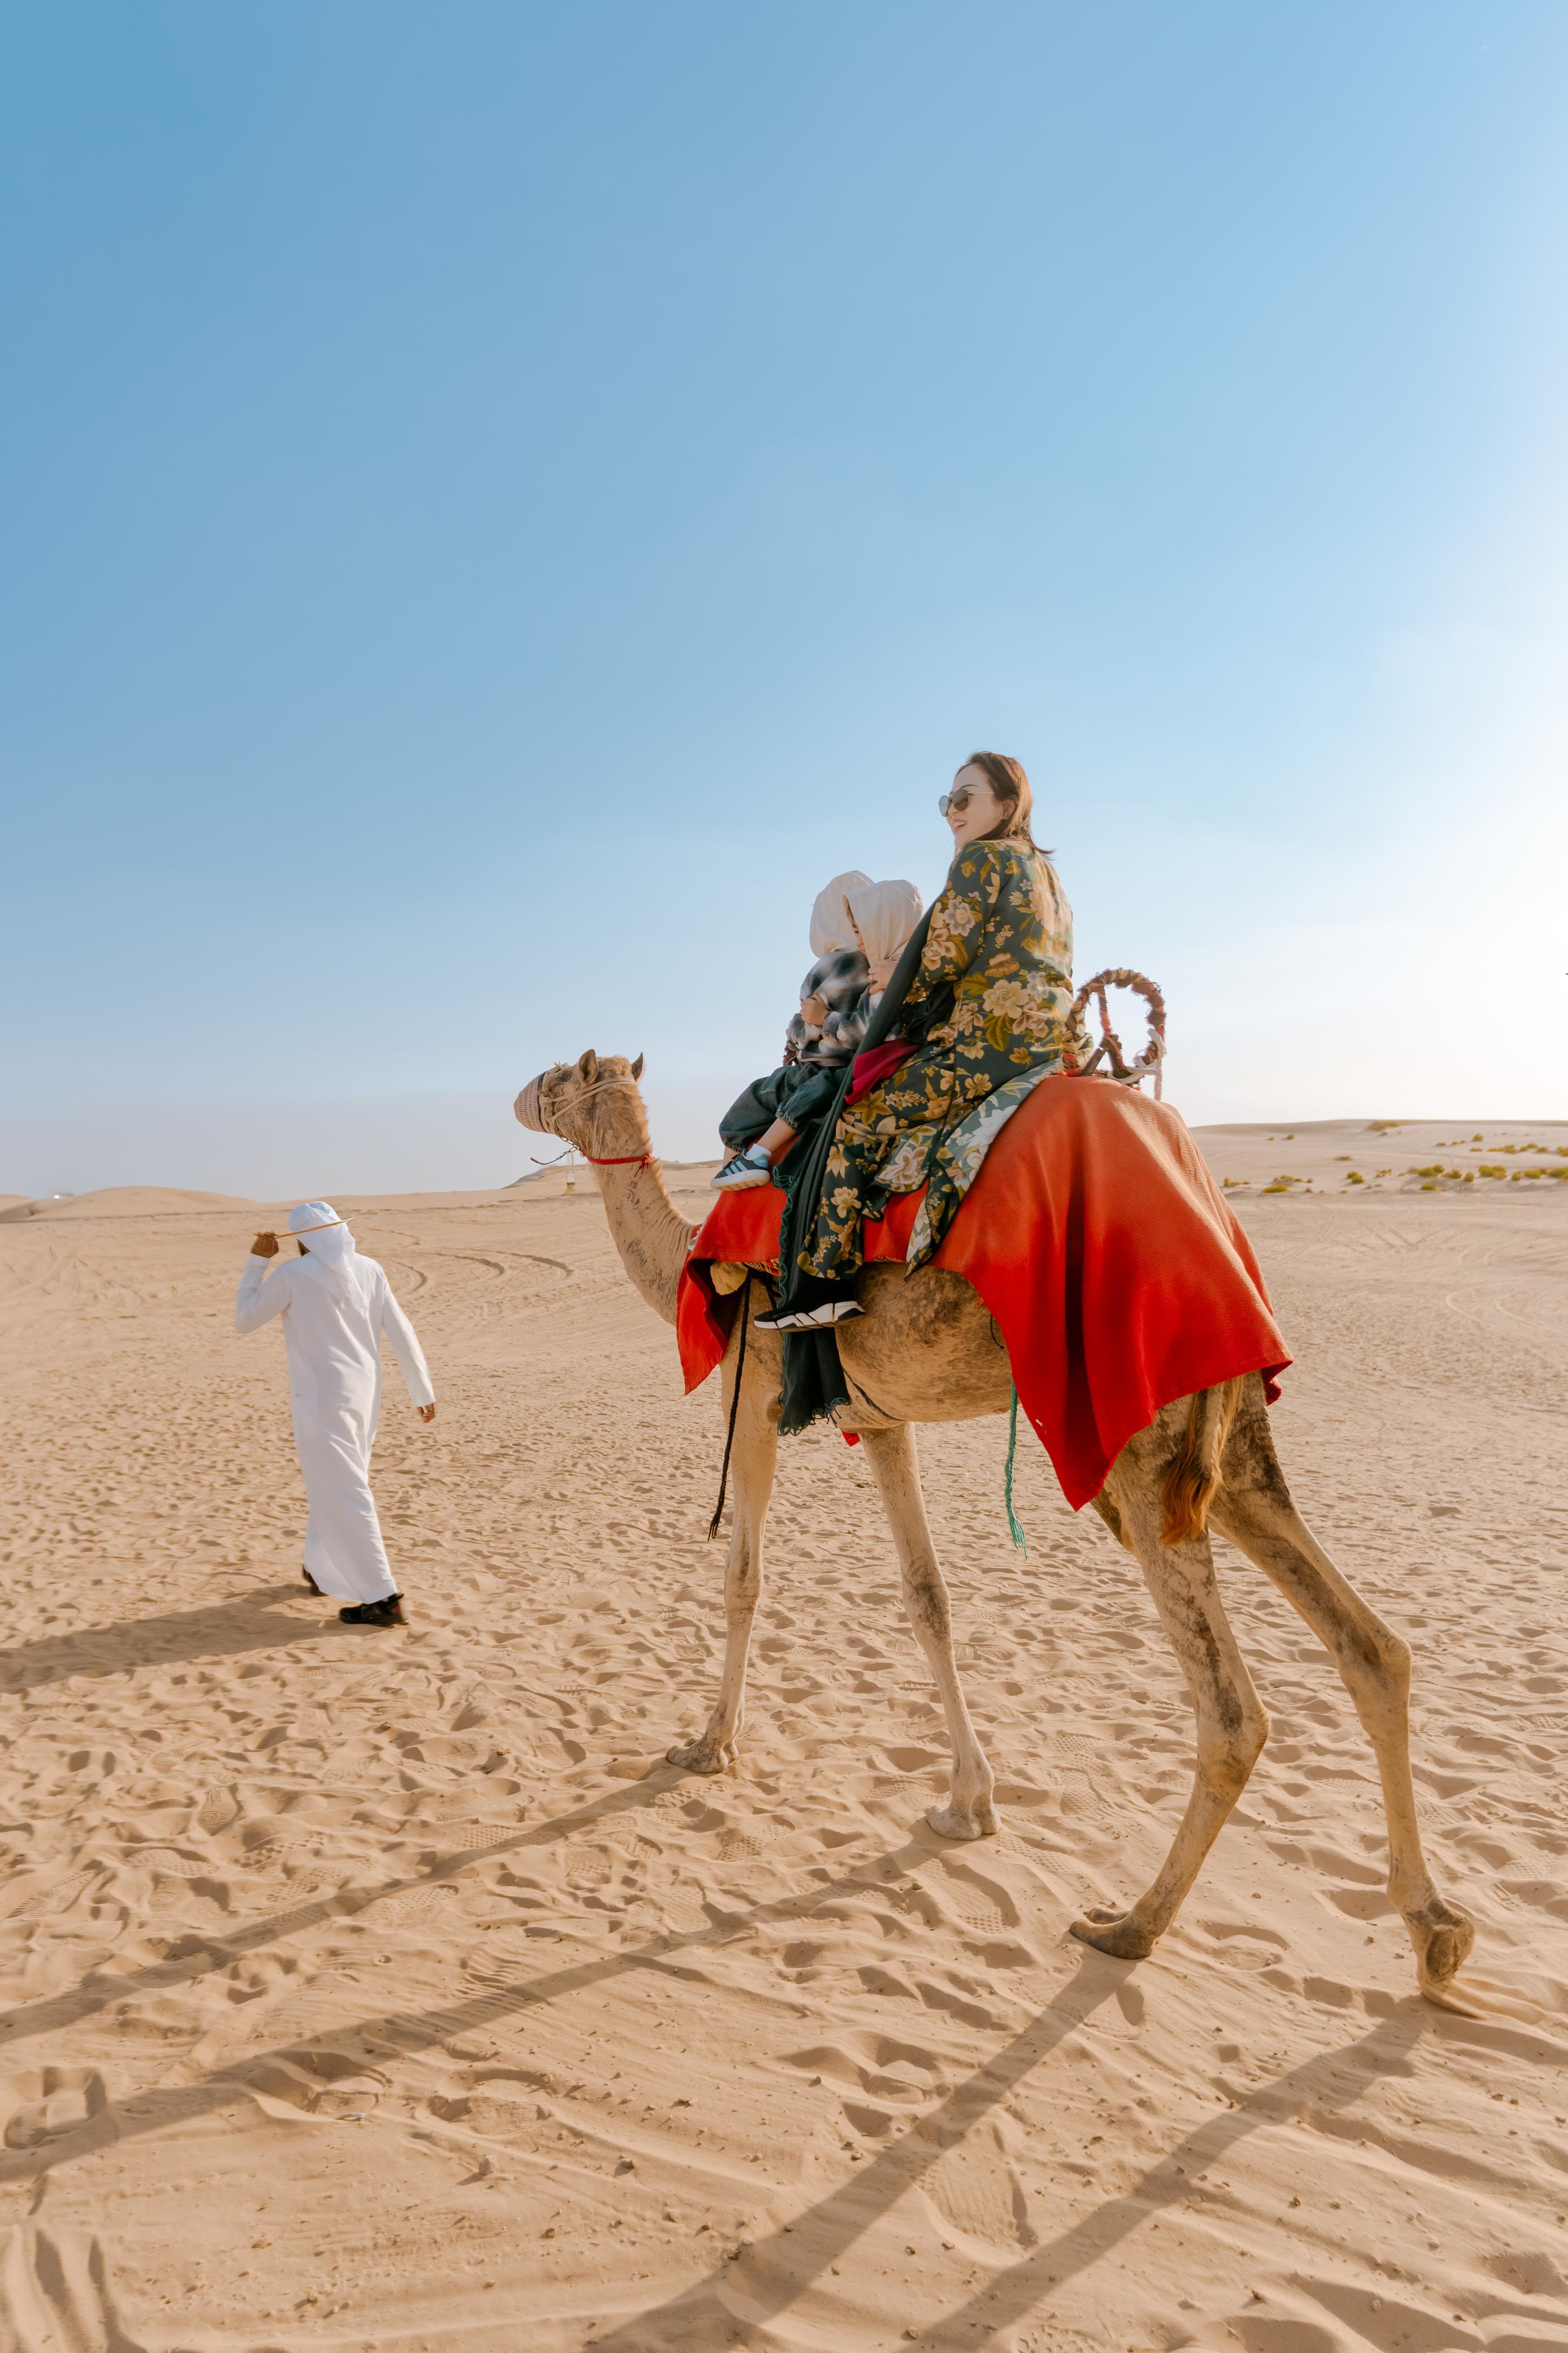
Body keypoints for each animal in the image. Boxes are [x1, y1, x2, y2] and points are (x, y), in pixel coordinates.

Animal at [515, 1051, 1476, 2008]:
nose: (524, 1096)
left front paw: (708, 1746)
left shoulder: (750, 1390)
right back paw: (1435, 1930)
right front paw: (967, 1802)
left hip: (1143, 1444)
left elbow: (743, 1578)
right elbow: (926, 1596)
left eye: (561, 1077)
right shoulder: (881, 1418)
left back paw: (1130, 1925)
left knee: (1233, 1712)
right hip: (1229, 1438)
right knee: (1372, 1648)